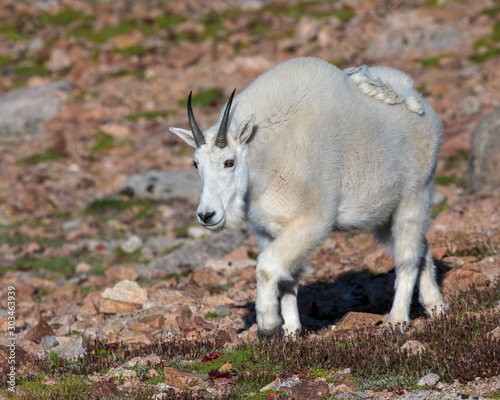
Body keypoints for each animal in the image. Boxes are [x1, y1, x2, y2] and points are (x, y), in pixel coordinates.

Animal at [170, 57, 448, 338]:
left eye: (229, 162)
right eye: (195, 164)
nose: (207, 215)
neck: (268, 155)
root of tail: (421, 103)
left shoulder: (312, 222)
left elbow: (266, 268)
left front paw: (269, 323)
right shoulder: (270, 229)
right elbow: (287, 279)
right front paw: (292, 331)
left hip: (415, 195)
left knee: (407, 256)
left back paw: (397, 320)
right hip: (383, 214)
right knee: (421, 246)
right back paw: (436, 306)